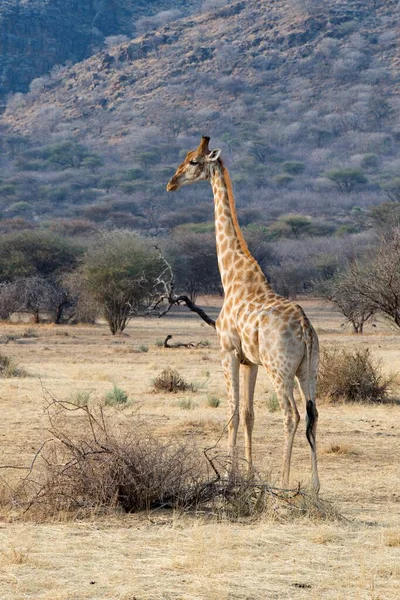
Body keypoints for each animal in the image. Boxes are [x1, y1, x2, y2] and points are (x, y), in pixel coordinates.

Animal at [166, 136, 318, 492]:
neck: (233, 277)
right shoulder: (251, 361)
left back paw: (285, 483)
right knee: (313, 416)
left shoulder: (228, 351)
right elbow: (249, 415)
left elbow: (233, 412)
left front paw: (230, 476)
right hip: (309, 369)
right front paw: (248, 475)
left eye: (193, 161)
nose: (171, 183)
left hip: (281, 369)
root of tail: (306, 329)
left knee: (291, 415)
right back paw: (316, 487)